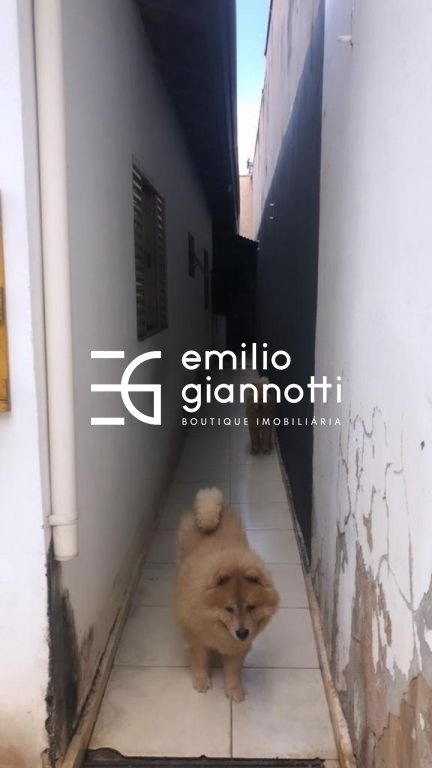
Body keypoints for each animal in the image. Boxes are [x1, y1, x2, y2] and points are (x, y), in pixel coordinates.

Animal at [175, 488, 279, 702]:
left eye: (251, 607)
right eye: (228, 608)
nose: (242, 632)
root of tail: (209, 497)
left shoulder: (236, 649)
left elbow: (232, 671)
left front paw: (234, 691)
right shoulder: (196, 639)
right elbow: (199, 661)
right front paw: (202, 682)